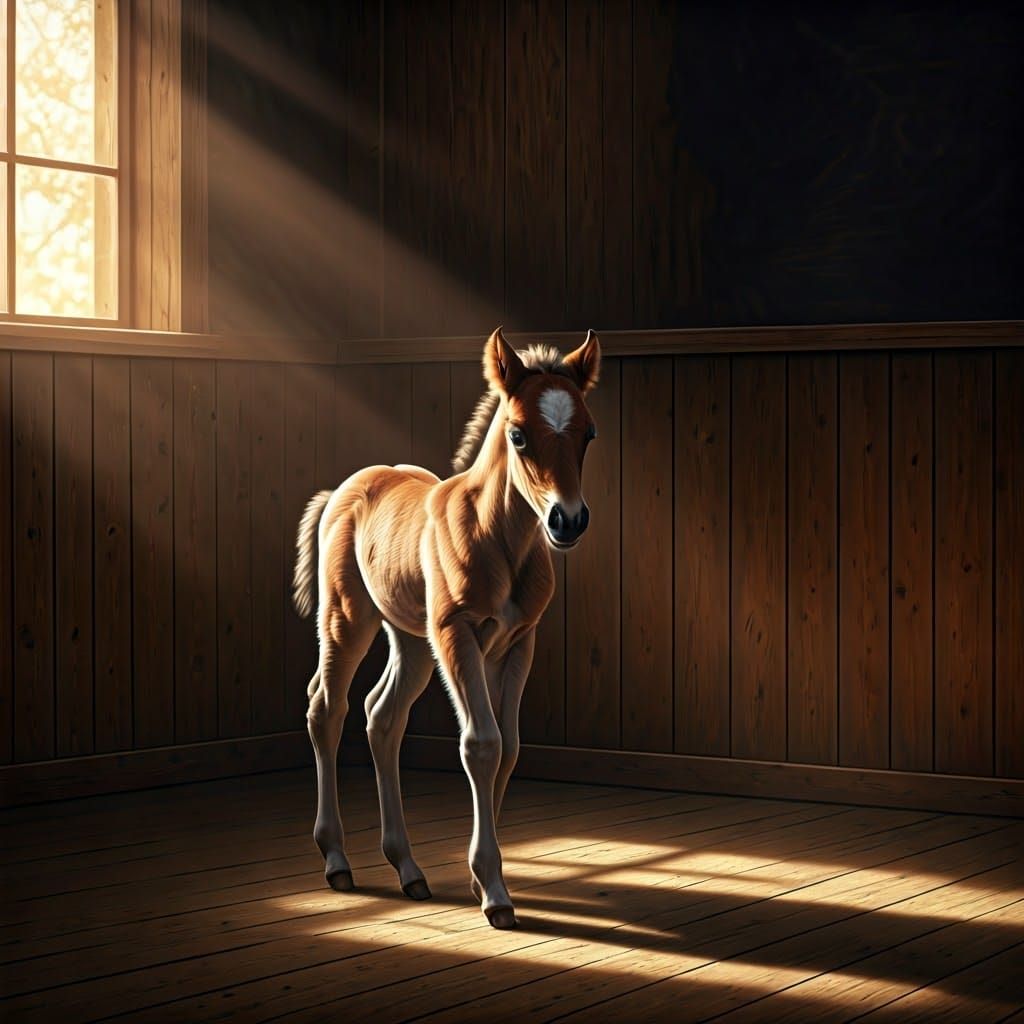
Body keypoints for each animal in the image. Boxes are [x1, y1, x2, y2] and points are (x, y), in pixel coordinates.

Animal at [291, 326, 601, 929]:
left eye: (589, 432)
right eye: (519, 435)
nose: (568, 521)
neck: (499, 538)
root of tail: (342, 489)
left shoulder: (518, 643)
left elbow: (509, 746)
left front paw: (484, 879)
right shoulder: (458, 634)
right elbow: (480, 743)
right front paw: (495, 894)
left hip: (412, 640)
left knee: (382, 716)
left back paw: (408, 869)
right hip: (349, 618)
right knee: (327, 707)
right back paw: (337, 860)